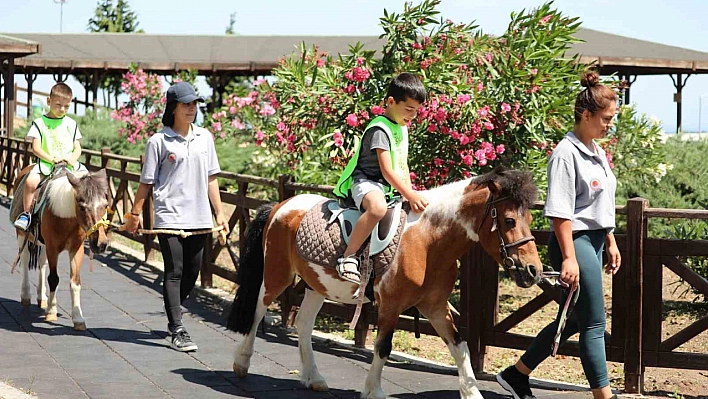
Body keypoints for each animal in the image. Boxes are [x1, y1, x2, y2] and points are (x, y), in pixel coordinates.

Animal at [10, 166, 110, 332]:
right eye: (82, 207)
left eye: (106, 205)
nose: (100, 243)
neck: (66, 217)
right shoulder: (52, 247)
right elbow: (53, 279)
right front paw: (51, 311)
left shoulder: (76, 249)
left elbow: (75, 282)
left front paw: (78, 318)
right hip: (22, 235)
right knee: (24, 258)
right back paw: (26, 295)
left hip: (42, 243)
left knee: (42, 263)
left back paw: (42, 297)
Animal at [227, 167, 544, 398]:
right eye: (509, 221)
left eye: (529, 219)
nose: (534, 270)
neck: (427, 241)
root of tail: (281, 204)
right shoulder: (391, 305)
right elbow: (383, 347)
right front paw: (373, 391)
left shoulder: (435, 306)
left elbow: (460, 346)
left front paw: (472, 393)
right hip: (277, 276)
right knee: (258, 309)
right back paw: (241, 363)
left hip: (317, 285)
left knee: (303, 325)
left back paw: (314, 378)